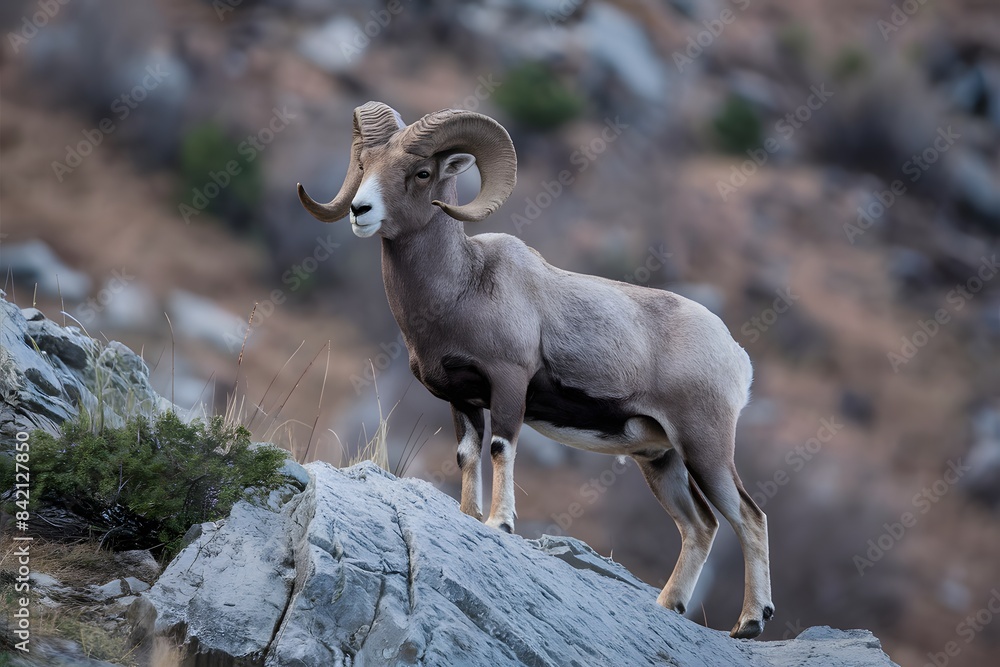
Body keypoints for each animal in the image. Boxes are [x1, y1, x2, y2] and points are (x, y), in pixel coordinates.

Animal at [297, 101, 774, 639]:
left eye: (421, 174)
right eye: (365, 165)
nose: (360, 211)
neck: (462, 286)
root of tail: (736, 357)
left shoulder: (508, 385)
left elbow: (501, 449)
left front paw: (498, 524)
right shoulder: (464, 401)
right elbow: (467, 456)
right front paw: (469, 516)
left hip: (705, 448)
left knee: (749, 518)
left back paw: (750, 623)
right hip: (660, 459)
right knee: (700, 526)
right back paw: (668, 605)